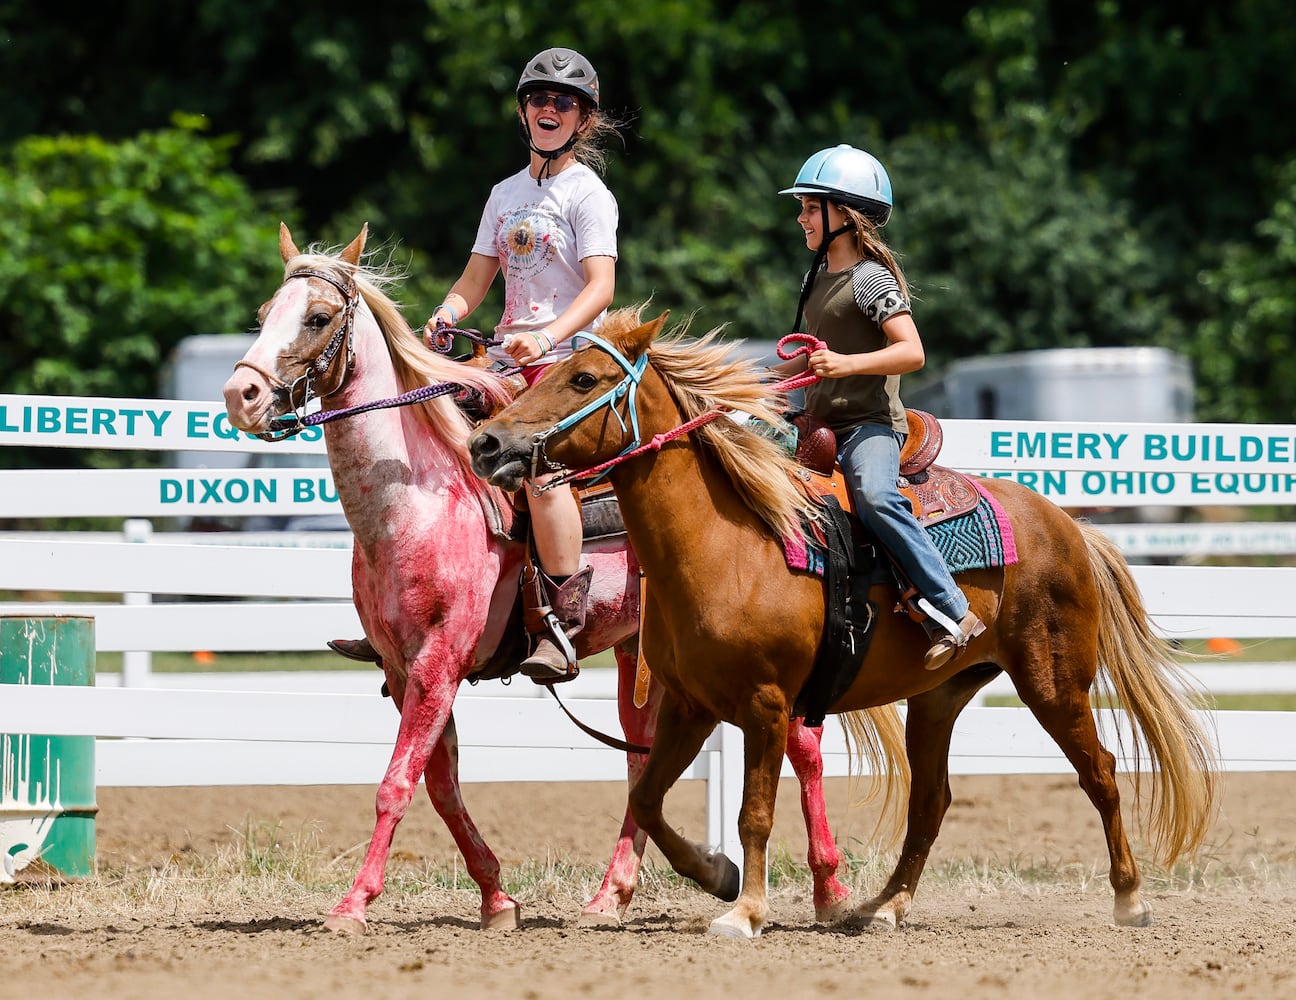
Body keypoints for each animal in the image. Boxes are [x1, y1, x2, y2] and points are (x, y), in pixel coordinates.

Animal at [222, 222, 907, 932]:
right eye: (263, 315)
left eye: (318, 317)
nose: (241, 396)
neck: (415, 503)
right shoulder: (402, 666)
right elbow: (441, 787)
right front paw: (497, 897)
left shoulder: (440, 660)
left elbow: (397, 785)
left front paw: (353, 905)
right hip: (644, 658)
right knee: (641, 766)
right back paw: (614, 894)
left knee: (803, 749)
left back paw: (829, 890)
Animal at [471, 304, 1218, 937]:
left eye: (584, 378)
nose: (487, 443)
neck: (726, 545)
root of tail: (1065, 525)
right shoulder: (690, 704)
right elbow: (651, 799)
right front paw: (717, 878)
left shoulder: (765, 706)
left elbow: (753, 811)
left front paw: (745, 912)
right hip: (940, 698)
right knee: (932, 801)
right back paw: (884, 907)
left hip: (1053, 683)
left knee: (1100, 772)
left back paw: (1130, 898)